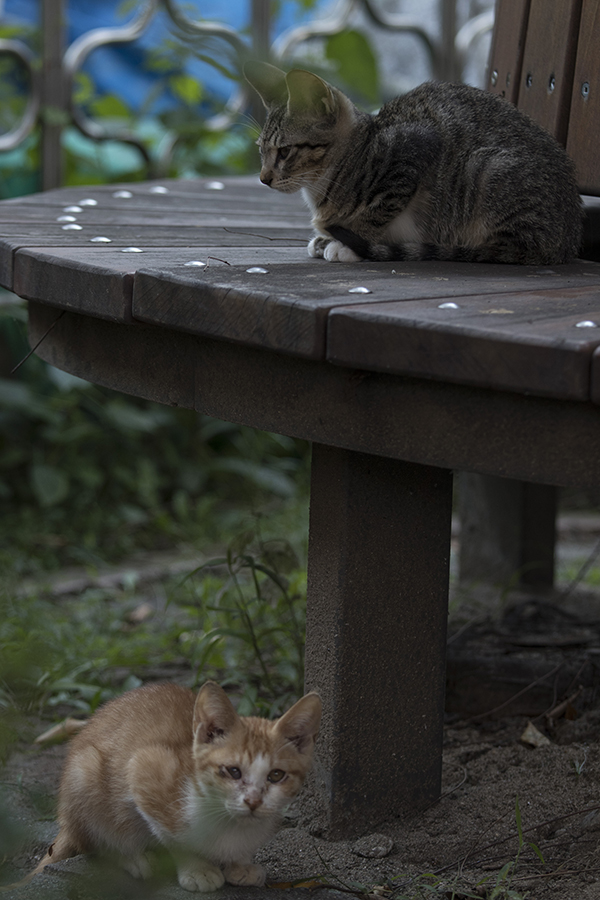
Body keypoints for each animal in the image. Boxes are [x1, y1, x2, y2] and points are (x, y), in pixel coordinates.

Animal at [22, 684, 322, 888]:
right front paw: (197, 869)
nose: (253, 801)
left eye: (276, 775)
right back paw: (132, 857)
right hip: (84, 772)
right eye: (233, 771)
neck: (229, 824)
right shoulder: (143, 767)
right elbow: (172, 836)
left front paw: (240, 864)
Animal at [244, 62, 580, 266]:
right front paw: (328, 236)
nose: (264, 178)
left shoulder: (410, 153)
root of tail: (566, 241)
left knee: (505, 249)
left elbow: (376, 211)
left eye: (285, 151)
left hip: (488, 169)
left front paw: (349, 242)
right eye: (261, 150)